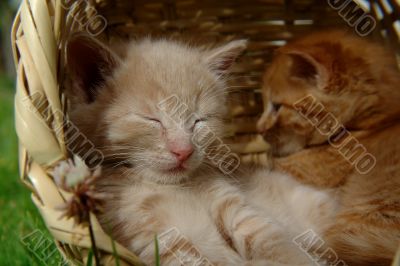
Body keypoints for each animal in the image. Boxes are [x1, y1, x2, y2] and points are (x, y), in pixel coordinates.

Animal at [65, 35, 334, 266]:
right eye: (152, 119)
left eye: (199, 121)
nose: (183, 151)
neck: (172, 187)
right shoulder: (146, 233)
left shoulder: (229, 199)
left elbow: (270, 237)